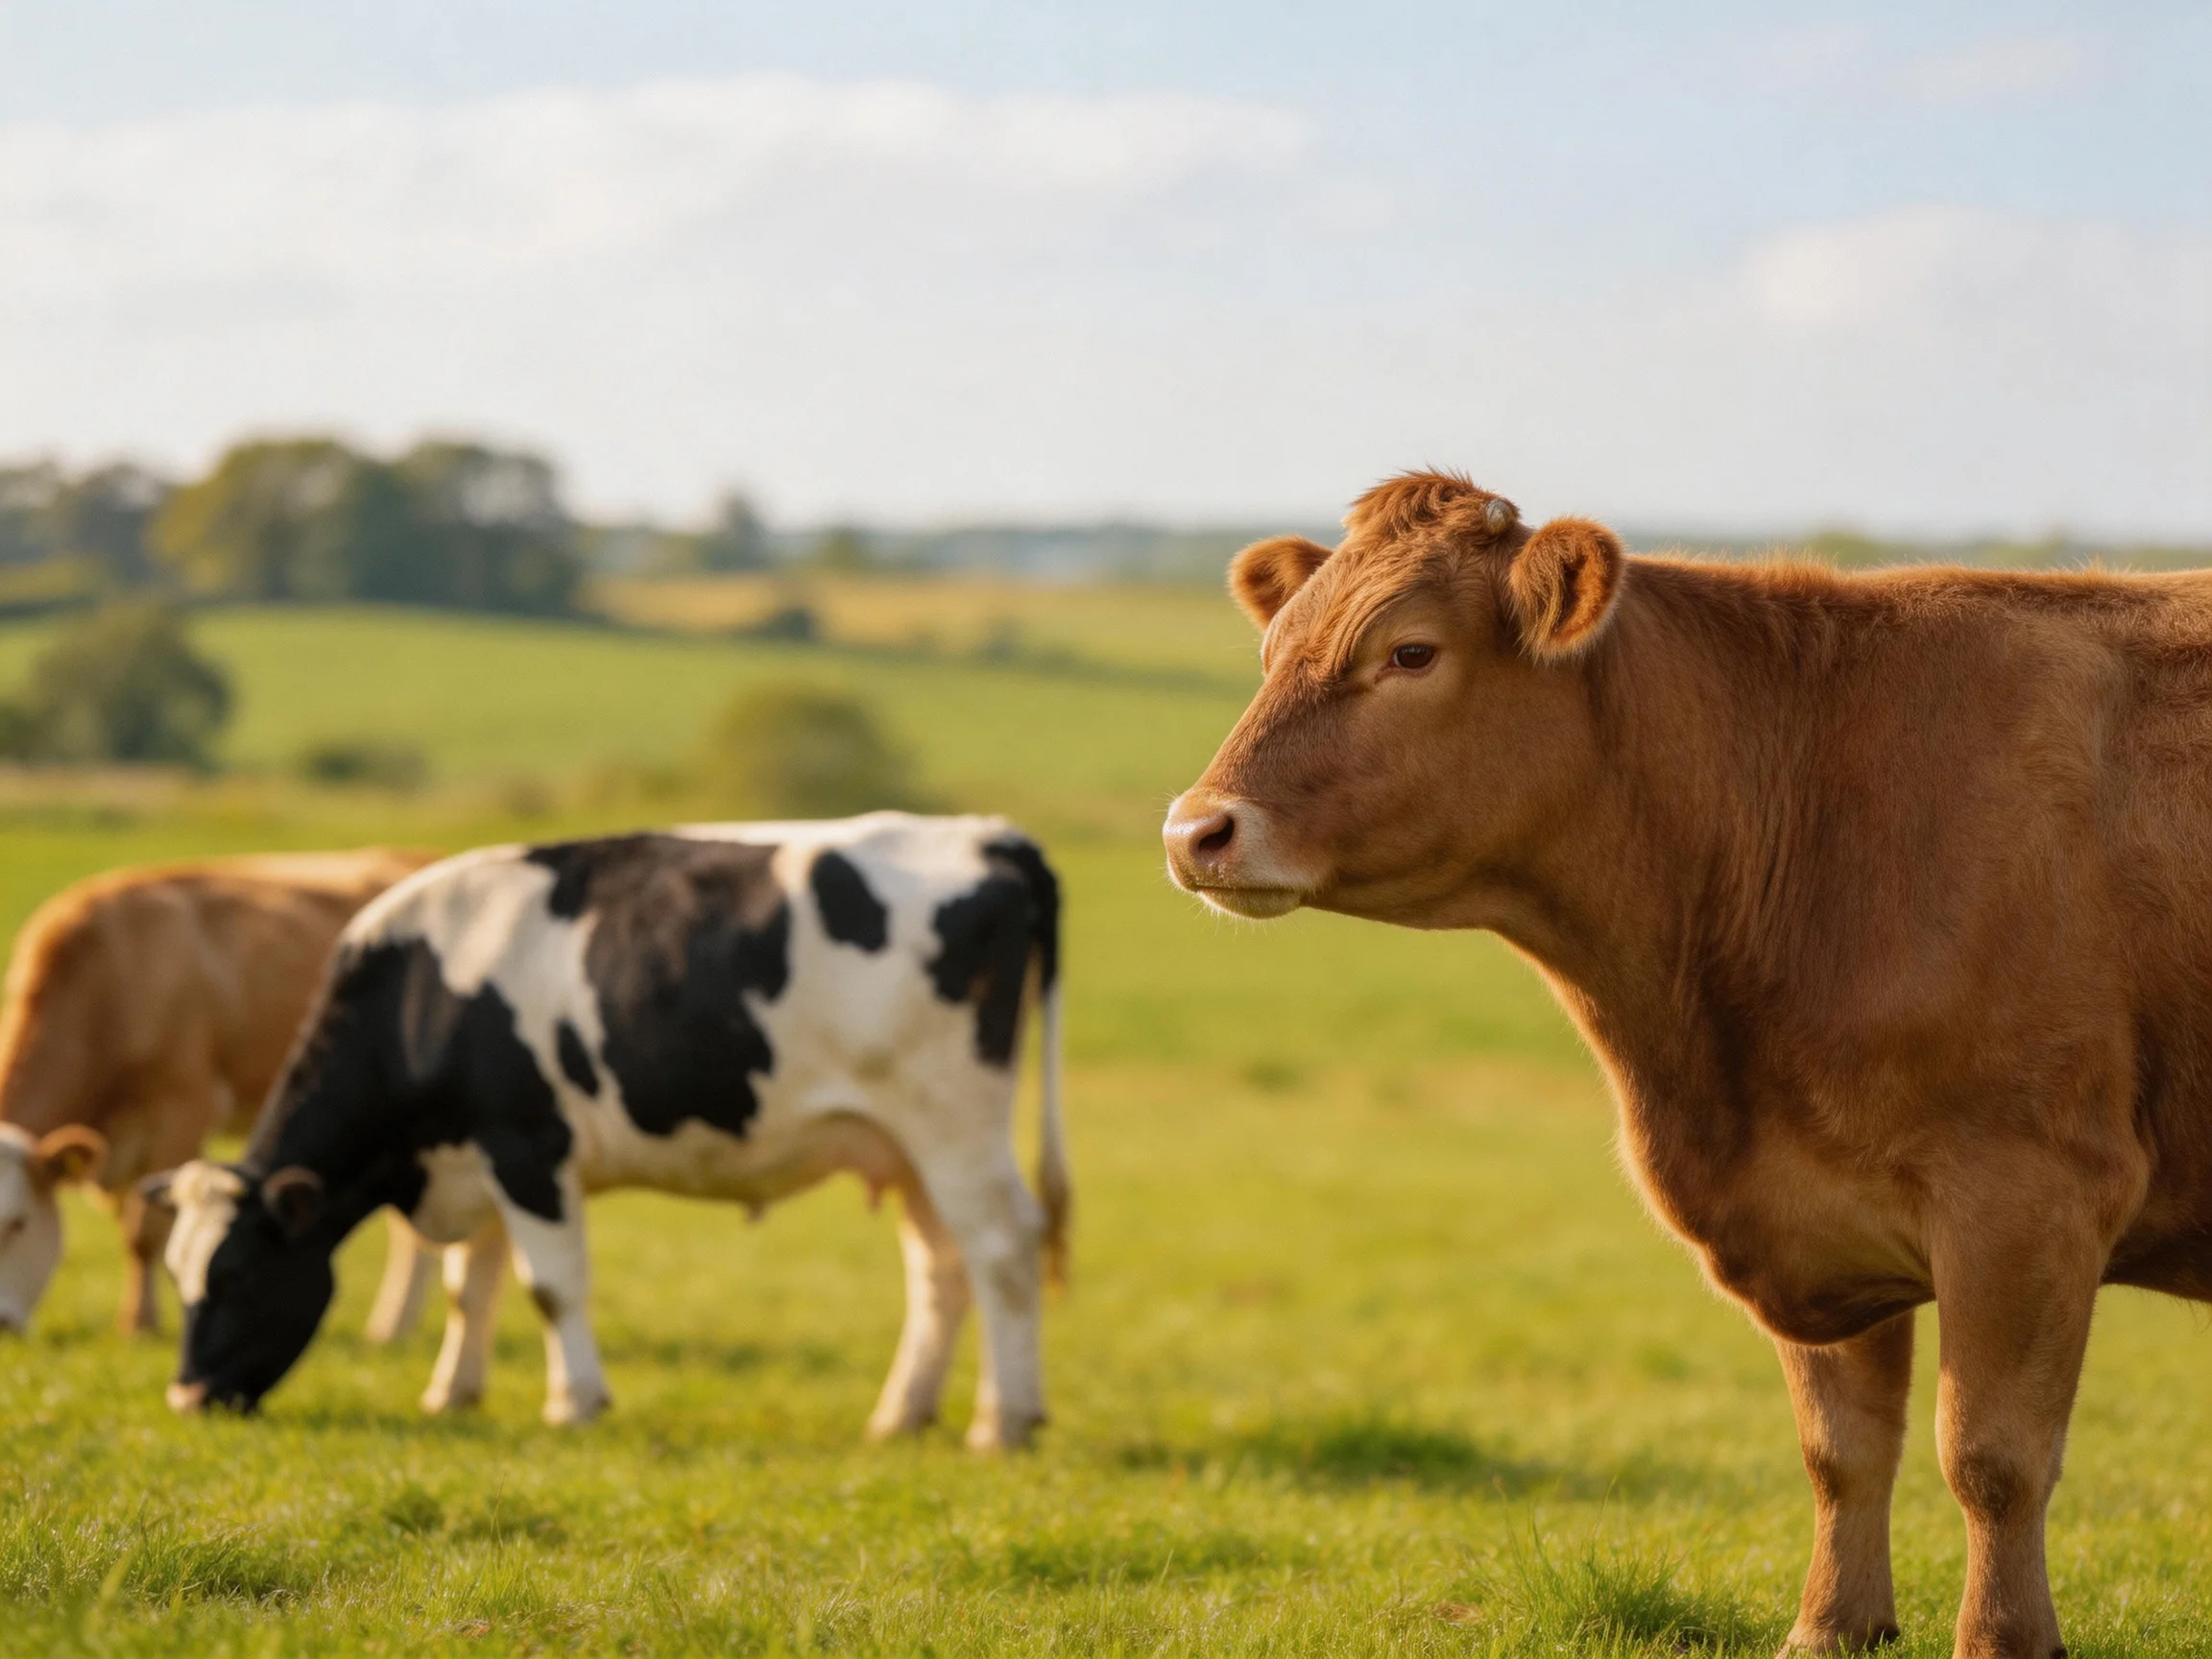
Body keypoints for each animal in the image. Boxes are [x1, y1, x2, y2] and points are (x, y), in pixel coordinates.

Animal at [0, 849, 438, 1337]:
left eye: (17, 1223)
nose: (1, 1324)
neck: (117, 972)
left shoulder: (185, 1111)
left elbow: (145, 1232)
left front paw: (140, 1325)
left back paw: (392, 1328)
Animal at [152, 813, 1068, 1449]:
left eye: (234, 1275)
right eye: (177, 1274)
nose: (186, 1399)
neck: (421, 996)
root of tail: (990, 835)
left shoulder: (529, 1147)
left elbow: (551, 1288)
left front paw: (574, 1403)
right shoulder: (478, 1157)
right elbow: (469, 1286)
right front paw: (452, 1394)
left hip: (954, 1127)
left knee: (1002, 1250)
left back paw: (1003, 1422)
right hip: (908, 1150)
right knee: (941, 1269)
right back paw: (901, 1416)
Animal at [1163, 469, 2212, 1658]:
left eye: (1411, 652)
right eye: (1272, 650)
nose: (1196, 831)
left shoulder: (2029, 1195)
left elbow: (1991, 1457)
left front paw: (2000, 1638)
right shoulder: (1823, 1206)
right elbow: (1842, 1450)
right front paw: (1829, 1626)